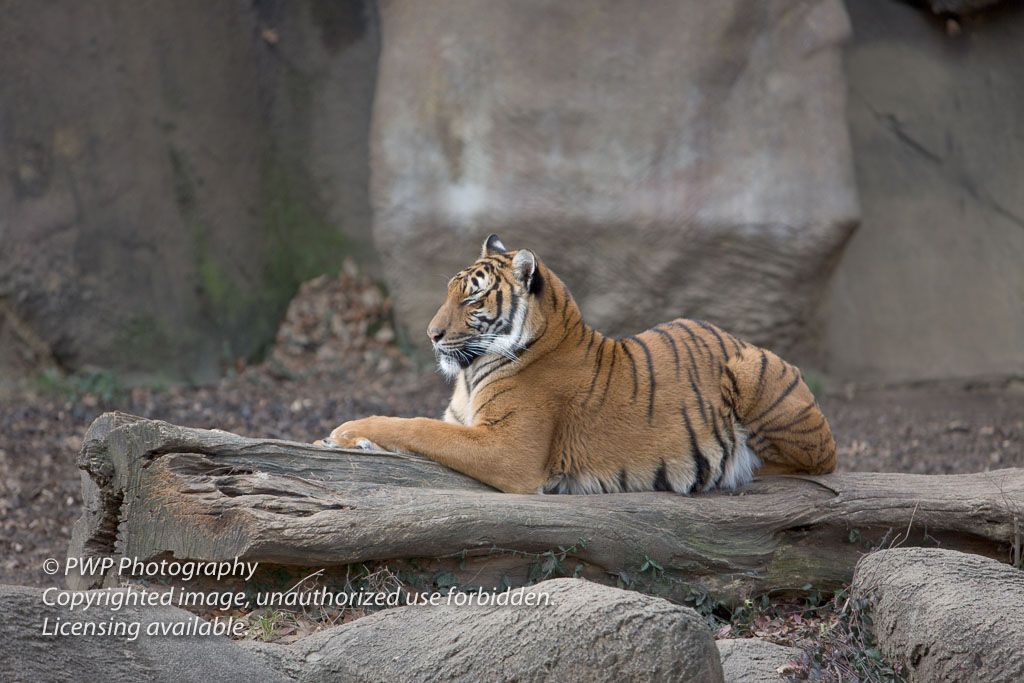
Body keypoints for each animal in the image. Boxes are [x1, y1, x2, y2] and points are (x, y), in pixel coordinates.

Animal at [315, 232, 835, 493]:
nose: (431, 335)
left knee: (816, 463)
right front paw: (348, 441)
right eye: (449, 292)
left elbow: (420, 428)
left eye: (473, 299)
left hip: (754, 371)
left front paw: (346, 430)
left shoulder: (509, 449)